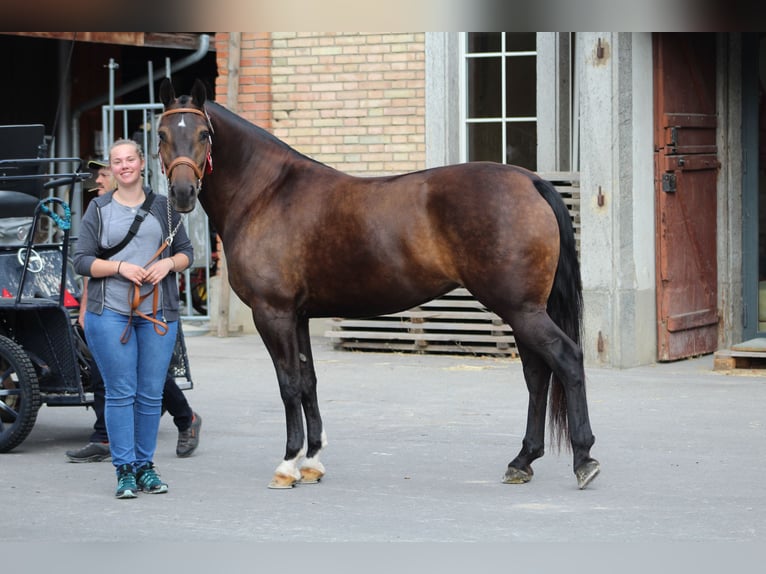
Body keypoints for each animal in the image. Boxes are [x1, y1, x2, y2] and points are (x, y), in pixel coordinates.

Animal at [157, 78, 600, 490]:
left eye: (204, 134)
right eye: (161, 134)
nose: (182, 193)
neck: (266, 193)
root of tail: (530, 181)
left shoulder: (274, 314)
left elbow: (289, 385)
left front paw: (287, 464)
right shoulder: (299, 316)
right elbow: (309, 382)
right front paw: (312, 462)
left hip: (521, 309)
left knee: (566, 359)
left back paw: (583, 460)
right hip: (522, 309)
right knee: (537, 374)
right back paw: (522, 460)